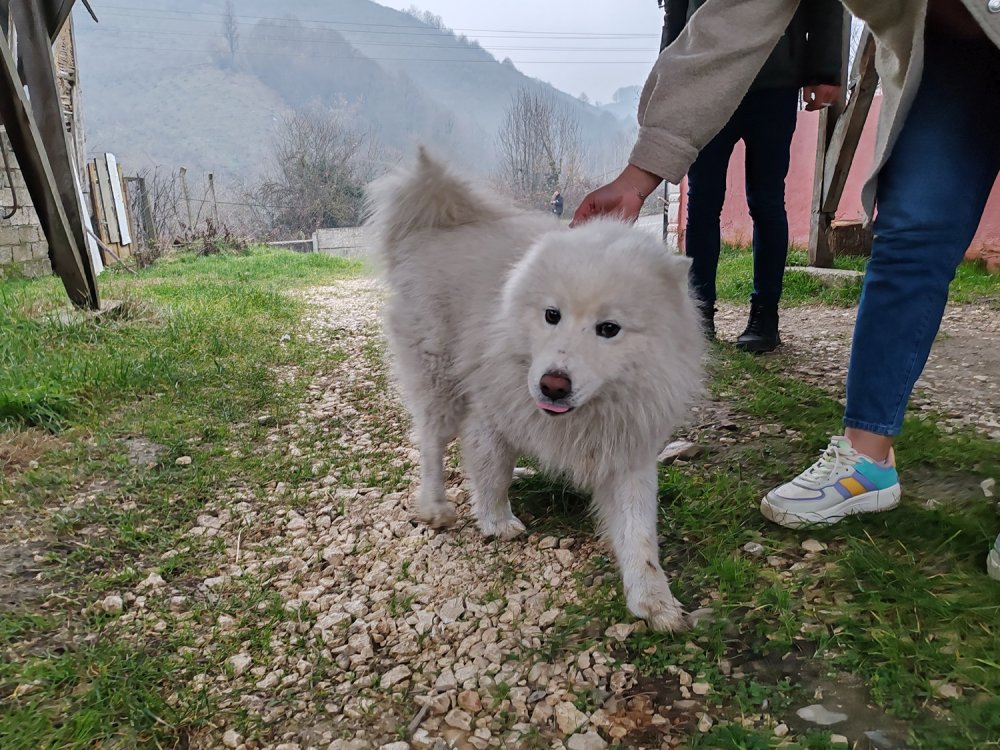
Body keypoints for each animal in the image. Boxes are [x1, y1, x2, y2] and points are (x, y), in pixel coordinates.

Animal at [372, 150, 708, 632]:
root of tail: (441, 223)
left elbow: (639, 533)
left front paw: (654, 600)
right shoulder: (490, 415)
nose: (553, 384)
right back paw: (435, 507)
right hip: (439, 382)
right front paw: (497, 521)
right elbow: (490, 474)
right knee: (433, 444)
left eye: (609, 329)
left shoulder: (628, 449)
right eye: (552, 315)